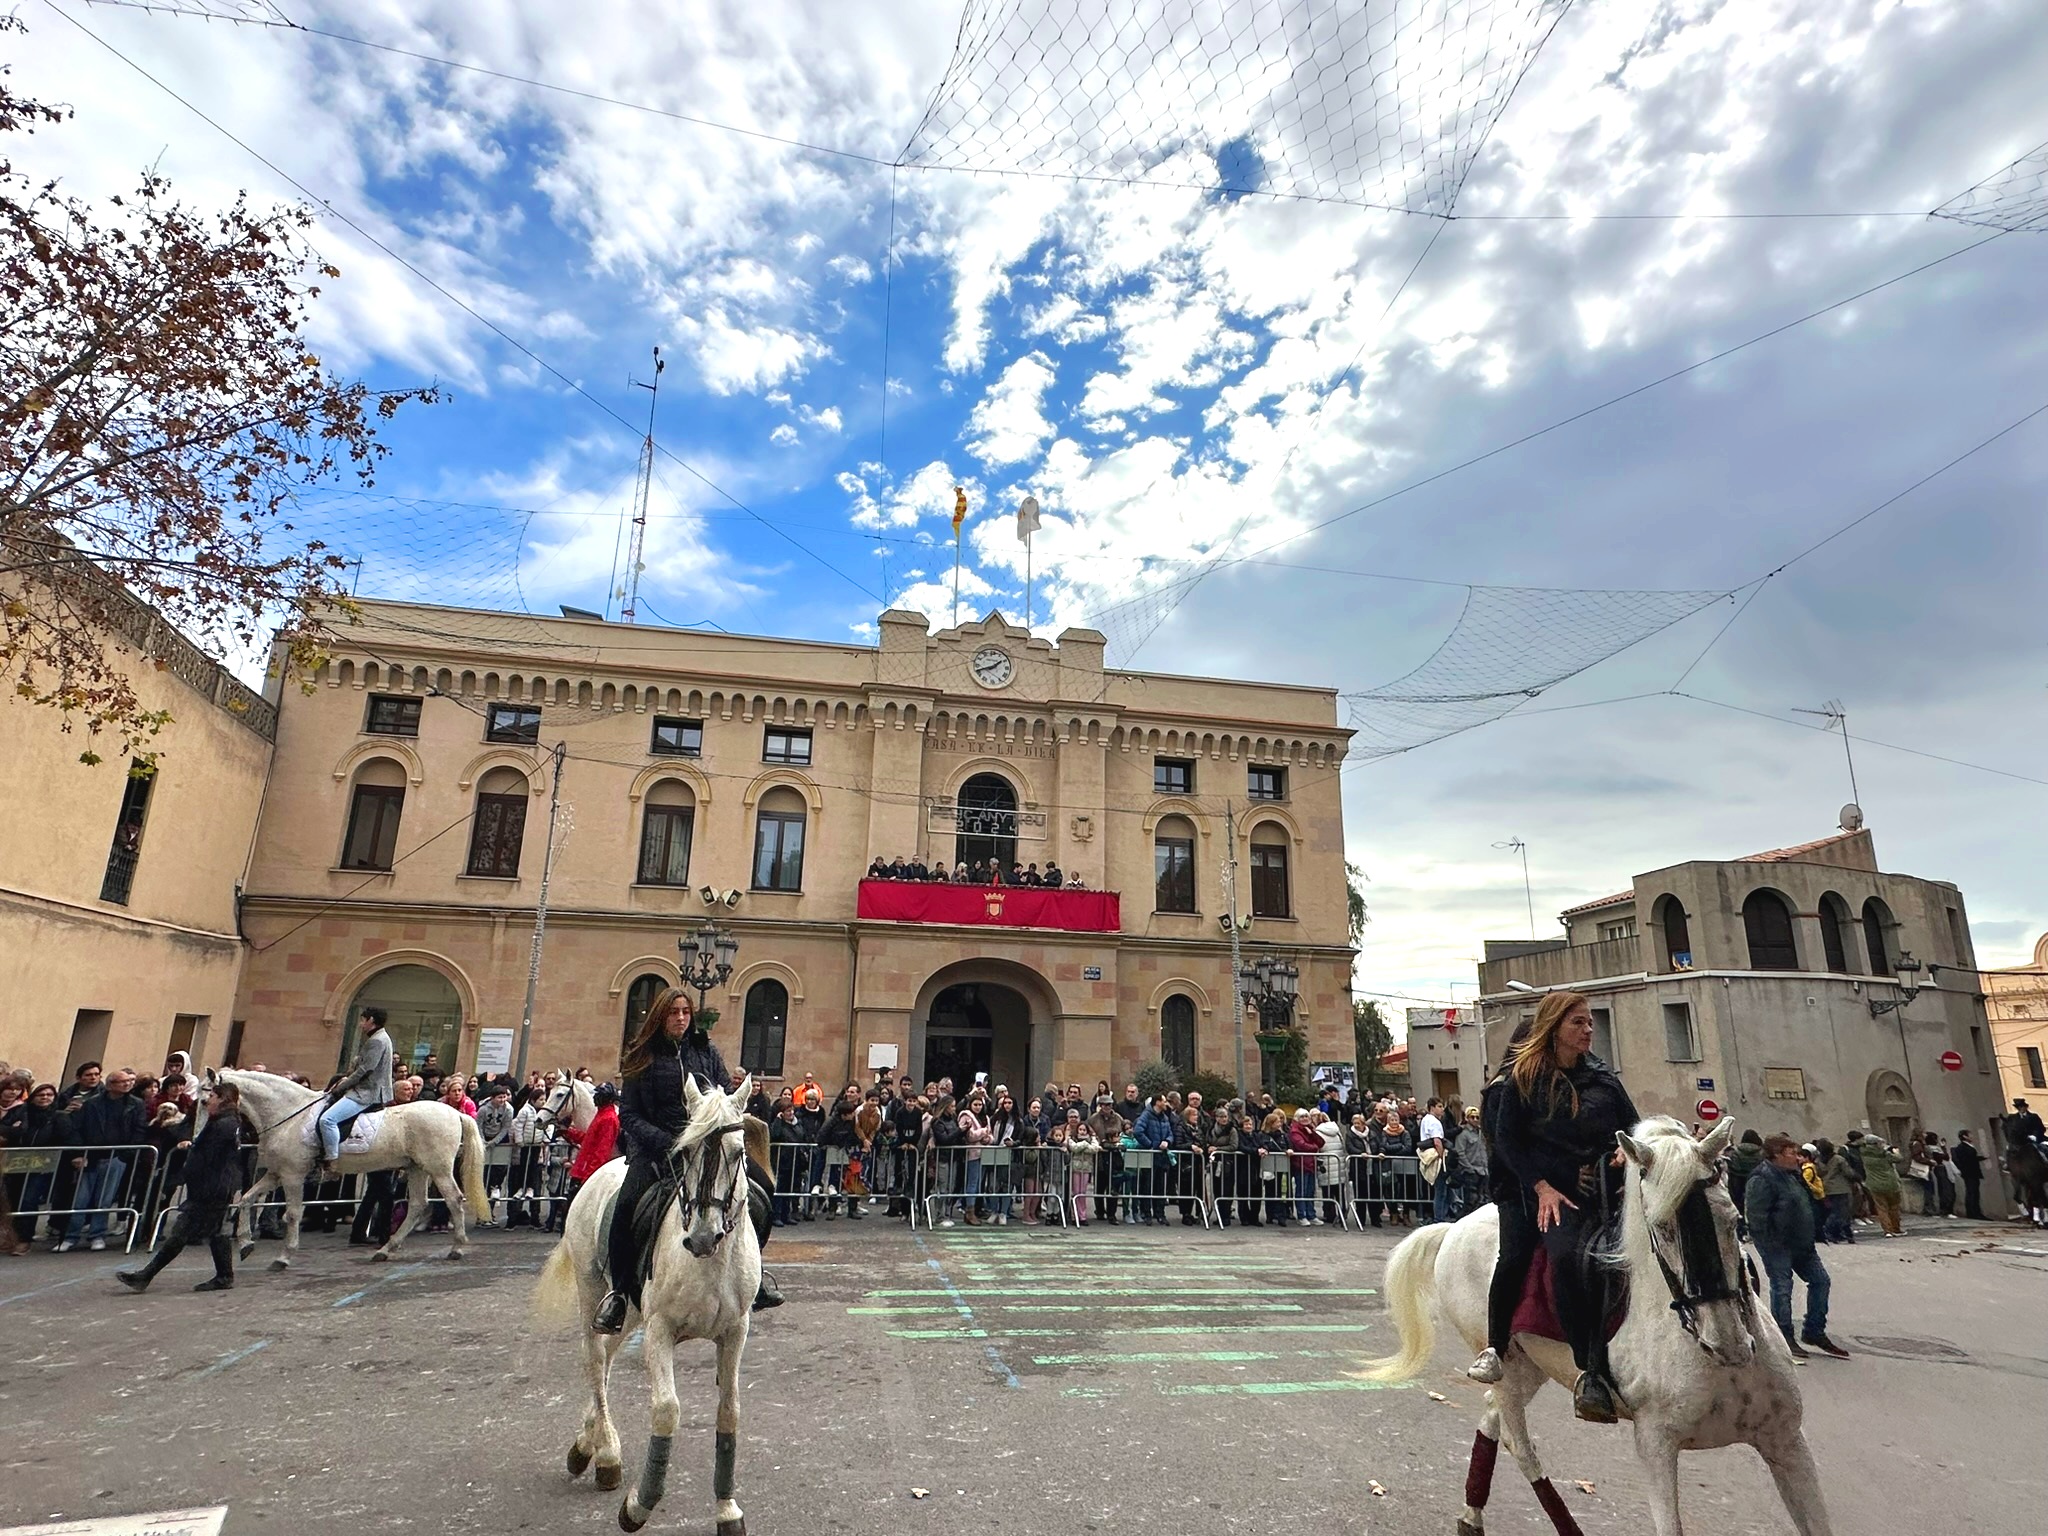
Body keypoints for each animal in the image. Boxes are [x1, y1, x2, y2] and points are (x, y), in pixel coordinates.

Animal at [217, 1073, 491, 1277]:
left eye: (211, 1092)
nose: (213, 1117)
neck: (291, 1116)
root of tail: (455, 1113)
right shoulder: (276, 1173)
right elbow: (246, 1199)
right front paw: (245, 1245)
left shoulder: (293, 1174)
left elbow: (293, 1214)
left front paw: (283, 1257)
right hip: (417, 1168)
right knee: (417, 1205)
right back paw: (385, 1249)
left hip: (438, 1168)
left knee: (453, 1200)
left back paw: (456, 1247)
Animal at [532, 1073, 765, 1536]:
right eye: (685, 1150)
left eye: (738, 1152)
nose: (703, 1237)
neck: (710, 1262)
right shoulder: (660, 1330)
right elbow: (666, 1410)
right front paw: (640, 1503)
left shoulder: (736, 1331)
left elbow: (729, 1411)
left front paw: (727, 1509)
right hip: (593, 1292)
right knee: (594, 1359)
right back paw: (606, 1456)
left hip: (629, 1311)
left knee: (606, 1357)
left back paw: (587, 1444)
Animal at [1368, 1122, 1835, 1536]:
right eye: (1662, 1228)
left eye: (1735, 1220)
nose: (1728, 1344)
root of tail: (1456, 1227)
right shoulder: (1656, 1447)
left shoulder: (1786, 1443)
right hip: (1501, 1358)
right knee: (1518, 1440)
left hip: (1531, 1366)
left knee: (1492, 1415)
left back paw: (1472, 1515)